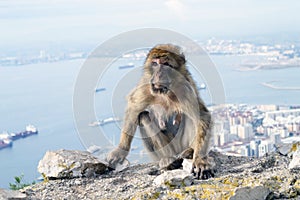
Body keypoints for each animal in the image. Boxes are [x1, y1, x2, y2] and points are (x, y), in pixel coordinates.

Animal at [106, 43, 214, 178]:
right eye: (155, 63)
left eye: (166, 64)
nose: (158, 75)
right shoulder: (146, 86)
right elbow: (134, 109)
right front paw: (120, 151)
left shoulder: (185, 89)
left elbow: (202, 117)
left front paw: (200, 160)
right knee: (144, 116)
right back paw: (168, 161)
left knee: (190, 118)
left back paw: (189, 151)